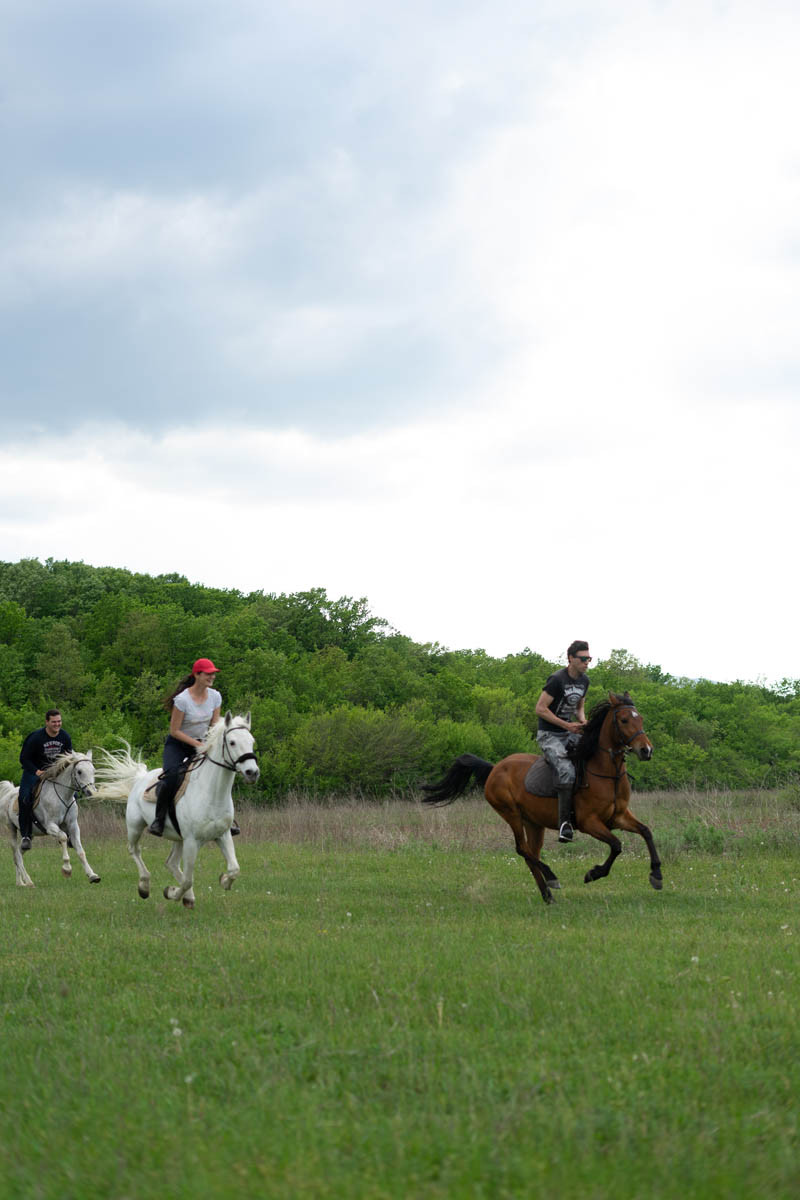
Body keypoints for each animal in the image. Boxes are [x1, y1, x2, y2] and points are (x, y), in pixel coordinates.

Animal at [0, 753, 100, 888]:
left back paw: (20, 882)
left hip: (30, 835)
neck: (63, 797)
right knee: (16, 855)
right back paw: (28, 881)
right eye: (79, 771)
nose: (91, 792)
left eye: (93, 770)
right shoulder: (50, 826)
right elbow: (63, 837)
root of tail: (8, 793)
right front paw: (67, 869)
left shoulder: (73, 826)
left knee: (19, 853)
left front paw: (93, 875)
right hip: (11, 828)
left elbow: (80, 851)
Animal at [95, 710, 260, 907]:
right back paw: (145, 886)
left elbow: (234, 869)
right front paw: (172, 893)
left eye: (252, 741)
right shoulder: (191, 841)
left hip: (178, 837)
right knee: (134, 850)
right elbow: (188, 879)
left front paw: (223, 880)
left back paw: (187, 896)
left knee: (171, 863)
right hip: (135, 826)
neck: (211, 793)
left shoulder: (223, 834)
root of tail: (140, 777)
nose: (252, 773)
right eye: (232, 742)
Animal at [419, 696, 662, 902]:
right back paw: (551, 877)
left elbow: (646, 832)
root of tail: (495, 768)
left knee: (530, 853)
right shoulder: (590, 822)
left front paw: (657, 875)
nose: (646, 750)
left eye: (640, 718)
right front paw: (593, 873)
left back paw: (547, 894)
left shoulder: (618, 817)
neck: (606, 773)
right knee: (522, 849)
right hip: (511, 814)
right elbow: (616, 845)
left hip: (533, 822)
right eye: (623, 720)